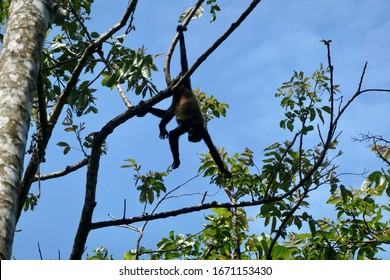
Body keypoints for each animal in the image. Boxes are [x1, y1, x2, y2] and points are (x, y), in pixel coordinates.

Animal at [139, 24, 232, 177]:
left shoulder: (205, 133)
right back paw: (161, 126)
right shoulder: (186, 125)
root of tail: (187, 89)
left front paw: (225, 171)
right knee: (170, 111)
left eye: (194, 137)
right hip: (176, 93)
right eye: (191, 133)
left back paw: (146, 110)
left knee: (167, 111)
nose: (190, 137)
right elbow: (173, 134)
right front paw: (177, 160)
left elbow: (213, 151)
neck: (196, 123)